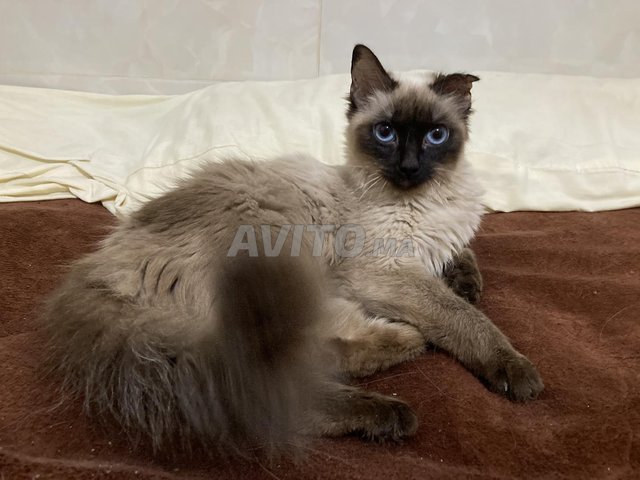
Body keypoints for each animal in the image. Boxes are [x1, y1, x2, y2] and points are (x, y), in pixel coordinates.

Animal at [41, 44, 543, 457]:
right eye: (385, 133)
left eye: (436, 136)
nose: (409, 166)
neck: (425, 199)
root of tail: (98, 274)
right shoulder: (385, 270)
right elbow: (464, 319)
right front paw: (515, 370)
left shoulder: (436, 244)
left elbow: (463, 262)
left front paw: (467, 283)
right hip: (285, 255)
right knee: (271, 384)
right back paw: (396, 393)